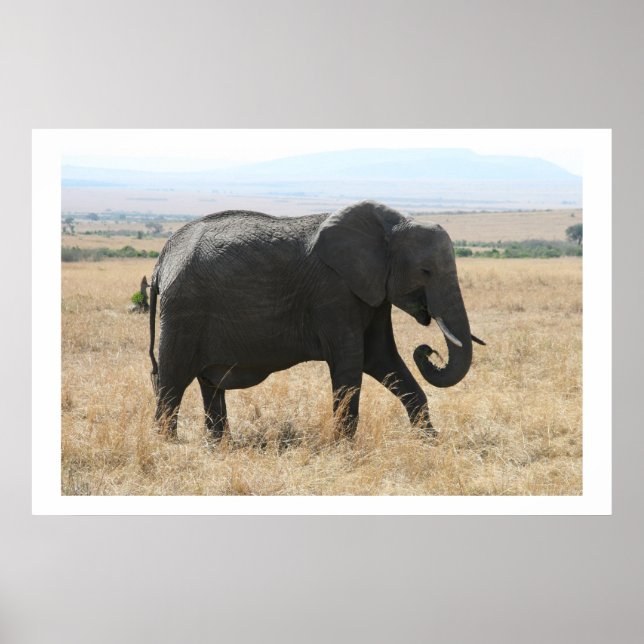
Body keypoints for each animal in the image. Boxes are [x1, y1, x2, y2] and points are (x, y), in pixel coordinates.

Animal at [148, 200, 484, 440]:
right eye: (425, 271)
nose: (428, 350)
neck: (390, 227)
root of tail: (162, 259)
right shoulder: (333, 292)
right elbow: (351, 362)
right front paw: (343, 447)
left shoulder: (371, 292)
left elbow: (383, 358)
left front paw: (430, 440)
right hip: (183, 311)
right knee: (172, 380)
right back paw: (167, 444)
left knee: (209, 382)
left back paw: (219, 445)